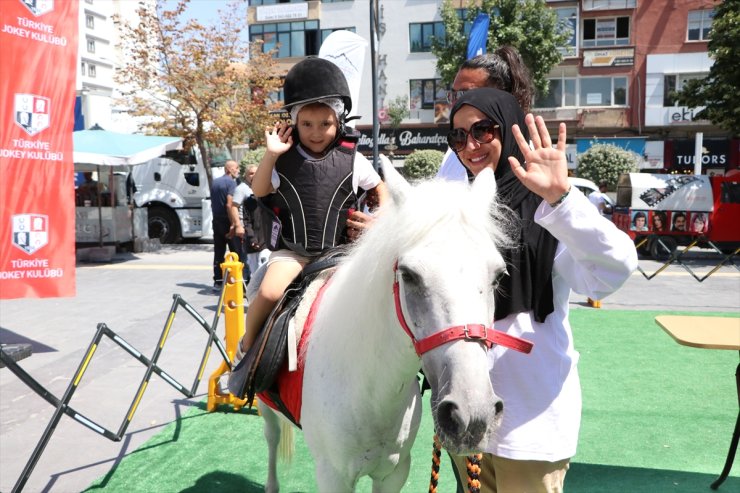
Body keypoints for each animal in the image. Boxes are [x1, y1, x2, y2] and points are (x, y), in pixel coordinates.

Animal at [251, 160, 528, 488]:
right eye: (408, 275)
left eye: (498, 276)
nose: (473, 415)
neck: (372, 392)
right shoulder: (333, 475)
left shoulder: (394, 471)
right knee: (271, 436)